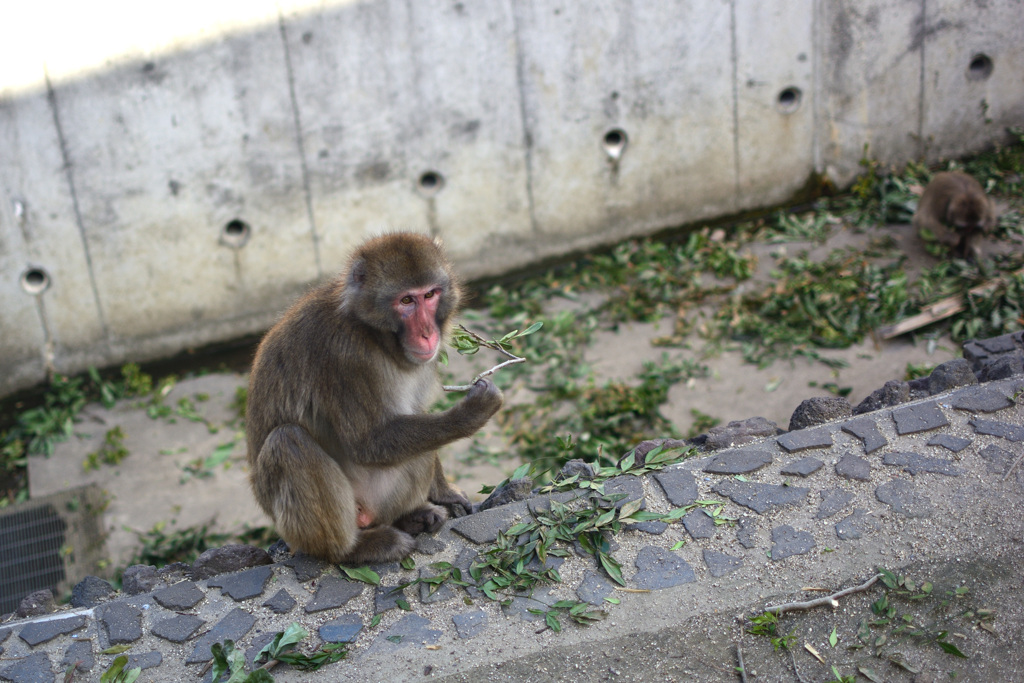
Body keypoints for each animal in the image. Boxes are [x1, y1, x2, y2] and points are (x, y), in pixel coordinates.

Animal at [247, 232, 503, 565]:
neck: (374, 335)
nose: (427, 333)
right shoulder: (345, 356)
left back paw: (411, 517)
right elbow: (367, 443)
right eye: (406, 301)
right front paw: (471, 414)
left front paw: (444, 491)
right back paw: (353, 548)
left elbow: (415, 414)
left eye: (430, 294)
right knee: (287, 440)